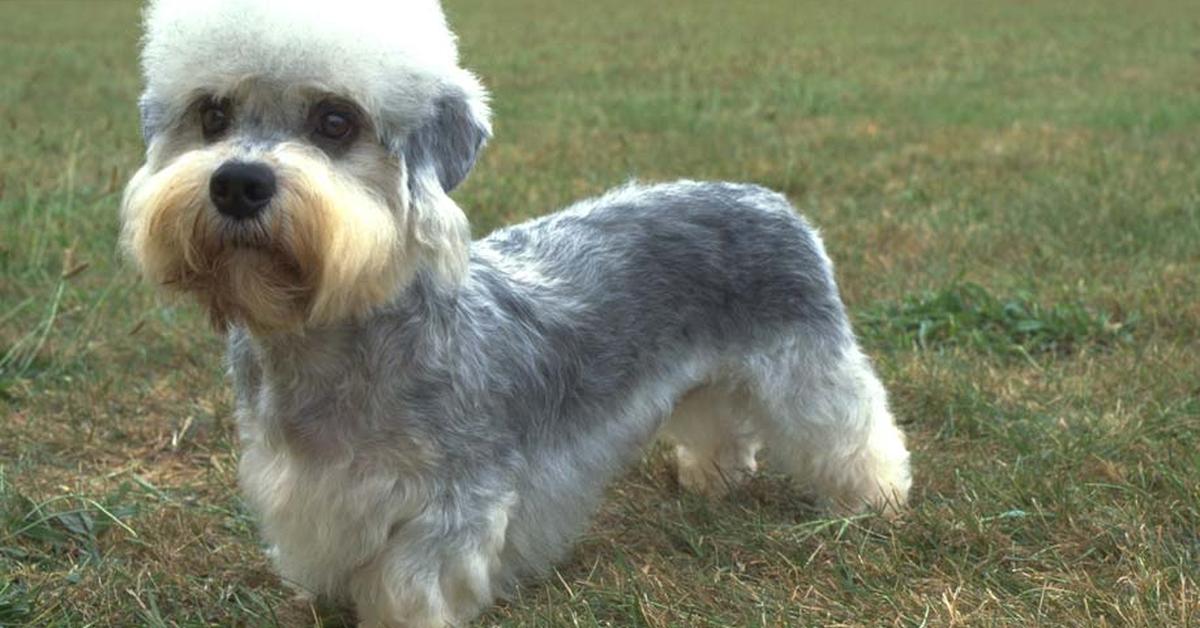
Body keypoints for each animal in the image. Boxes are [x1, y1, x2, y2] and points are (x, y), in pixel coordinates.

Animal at [119, 2, 907, 624]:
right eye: (212, 114)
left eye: (335, 121)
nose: (237, 184)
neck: (342, 333)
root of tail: (766, 198)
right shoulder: (309, 493)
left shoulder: (452, 506)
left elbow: (412, 587)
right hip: (709, 377)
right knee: (720, 422)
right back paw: (711, 479)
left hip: (808, 367)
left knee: (856, 429)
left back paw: (879, 500)